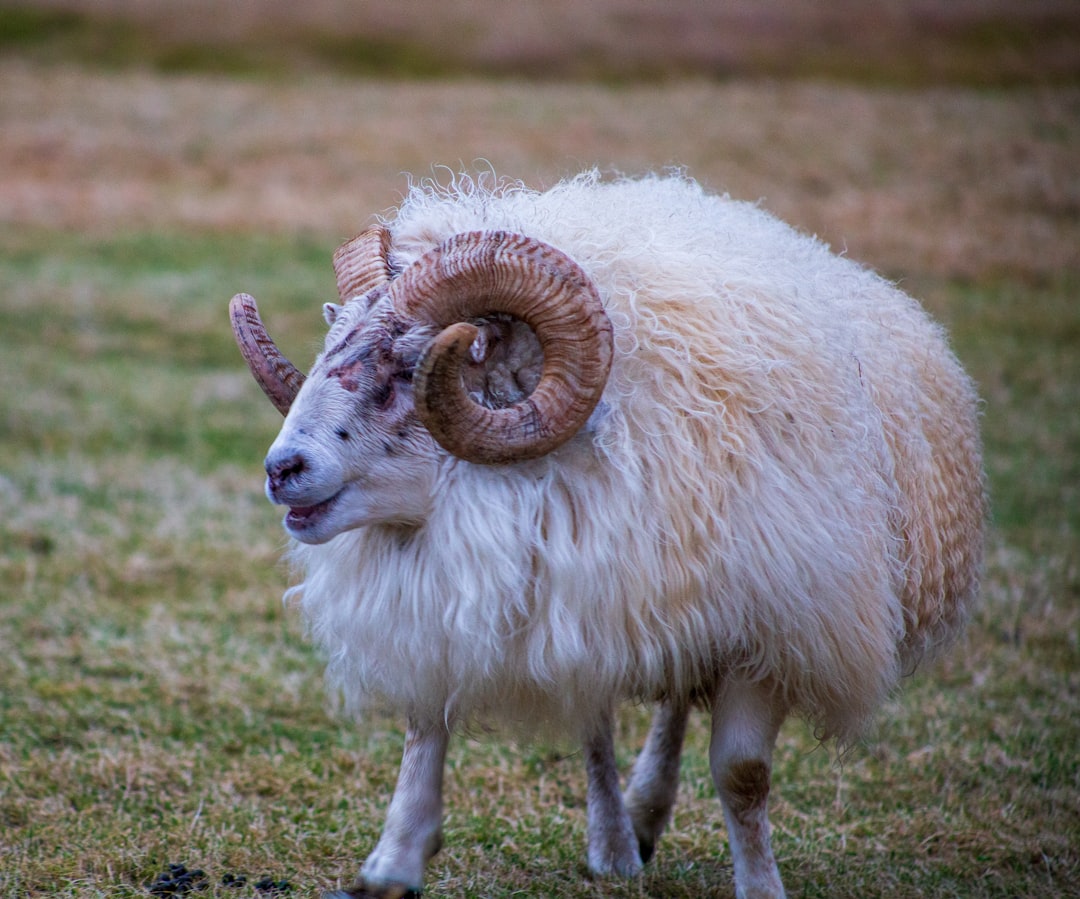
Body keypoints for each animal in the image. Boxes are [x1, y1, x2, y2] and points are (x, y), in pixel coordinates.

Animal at [230, 170, 989, 899]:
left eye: (409, 369)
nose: (281, 470)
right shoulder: (513, 597)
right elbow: (428, 729)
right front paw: (392, 863)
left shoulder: (770, 625)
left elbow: (743, 774)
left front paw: (761, 885)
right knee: (604, 721)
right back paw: (621, 839)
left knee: (675, 705)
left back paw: (645, 814)